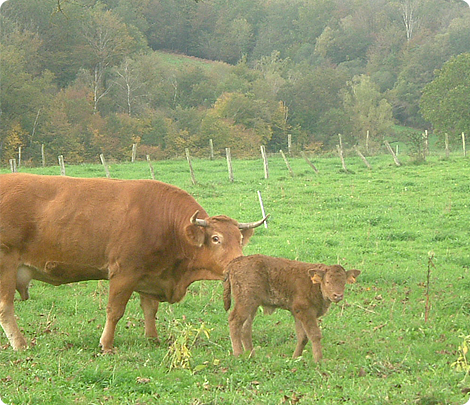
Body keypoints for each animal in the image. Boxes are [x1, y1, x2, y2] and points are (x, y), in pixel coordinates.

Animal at [0, 172, 266, 352]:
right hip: (6, 265)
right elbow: (115, 311)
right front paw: (106, 344)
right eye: (216, 238)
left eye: (240, 239)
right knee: (5, 308)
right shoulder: (124, 272)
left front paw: (152, 338)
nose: (239, 263)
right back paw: (20, 344)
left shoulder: (150, 275)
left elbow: (150, 309)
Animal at [224, 254, 360, 362]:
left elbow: (303, 337)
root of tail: (237, 261)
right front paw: (318, 359)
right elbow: (314, 335)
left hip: (252, 305)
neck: (314, 284)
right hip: (245, 302)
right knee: (234, 321)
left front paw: (295, 357)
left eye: (343, 282)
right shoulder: (305, 311)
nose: (338, 295)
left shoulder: (297, 313)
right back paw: (238, 354)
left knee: (245, 328)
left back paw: (251, 355)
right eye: (327, 282)